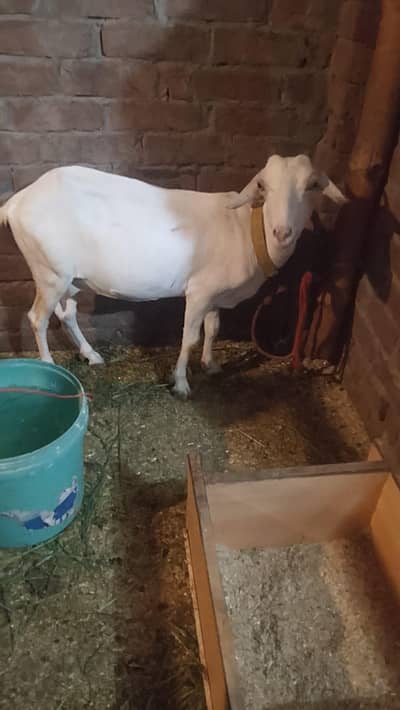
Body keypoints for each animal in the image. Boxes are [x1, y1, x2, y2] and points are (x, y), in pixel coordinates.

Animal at [0, 154, 346, 397]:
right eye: (264, 187)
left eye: (311, 187)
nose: (282, 232)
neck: (245, 230)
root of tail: (16, 203)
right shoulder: (199, 292)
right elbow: (190, 337)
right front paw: (181, 383)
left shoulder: (215, 292)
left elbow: (213, 328)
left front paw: (211, 365)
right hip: (49, 273)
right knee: (37, 318)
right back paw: (47, 367)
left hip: (69, 278)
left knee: (67, 314)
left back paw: (92, 355)